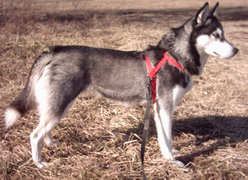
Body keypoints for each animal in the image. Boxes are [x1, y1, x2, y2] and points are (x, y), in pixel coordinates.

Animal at [5, 2, 238, 168]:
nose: (236, 50)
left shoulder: (157, 108)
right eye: (216, 35)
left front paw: (170, 155)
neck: (175, 56)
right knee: (35, 135)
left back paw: (51, 143)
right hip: (60, 104)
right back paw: (39, 163)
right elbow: (168, 139)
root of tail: (53, 51)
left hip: (57, 104)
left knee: (43, 127)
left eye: (223, 35)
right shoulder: (164, 107)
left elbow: (166, 139)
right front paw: (172, 161)